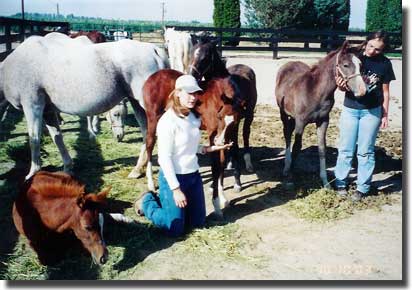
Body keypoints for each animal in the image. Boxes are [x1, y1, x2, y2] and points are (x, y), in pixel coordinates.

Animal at [0, 32, 168, 180]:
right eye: (116, 114)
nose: (119, 136)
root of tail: (154, 50)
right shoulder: (48, 112)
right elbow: (57, 137)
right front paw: (67, 168)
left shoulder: (32, 106)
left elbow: (34, 139)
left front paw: (32, 173)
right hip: (138, 104)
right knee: (147, 134)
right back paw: (137, 170)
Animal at [142, 69, 245, 216]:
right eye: (219, 117)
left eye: (235, 122)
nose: (219, 141)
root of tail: (153, 76)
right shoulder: (212, 134)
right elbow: (215, 167)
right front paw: (217, 205)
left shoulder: (229, 136)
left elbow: (222, 164)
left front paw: (223, 198)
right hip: (153, 117)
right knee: (149, 143)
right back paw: (151, 183)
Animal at [276, 40, 366, 187]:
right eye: (345, 65)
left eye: (360, 65)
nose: (362, 90)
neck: (315, 91)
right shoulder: (301, 122)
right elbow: (296, 148)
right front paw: (290, 178)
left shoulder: (323, 121)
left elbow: (322, 149)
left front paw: (325, 181)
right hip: (283, 113)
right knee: (287, 134)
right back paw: (286, 167)